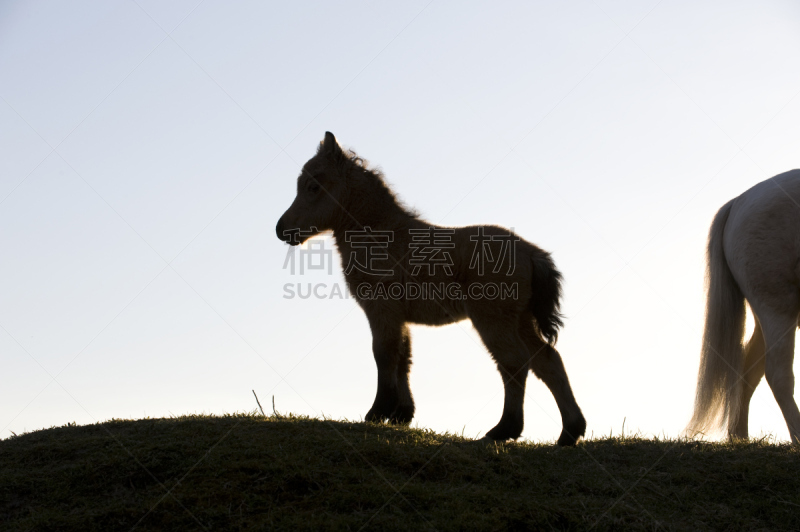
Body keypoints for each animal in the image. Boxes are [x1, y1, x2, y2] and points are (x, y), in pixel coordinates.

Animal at [278, 132, 584, 444]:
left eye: (313, 186)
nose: (281, 229)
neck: (382, 236)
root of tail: (532, 253)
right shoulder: (399, 317)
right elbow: (404, 357)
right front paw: (401, 415)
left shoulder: (381, 308)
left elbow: (384, 354)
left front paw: (377, 412)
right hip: (521, 320)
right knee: (547, 360)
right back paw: (569, 433)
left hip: (493, 320)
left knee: (514, 364)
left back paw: (504, 430)